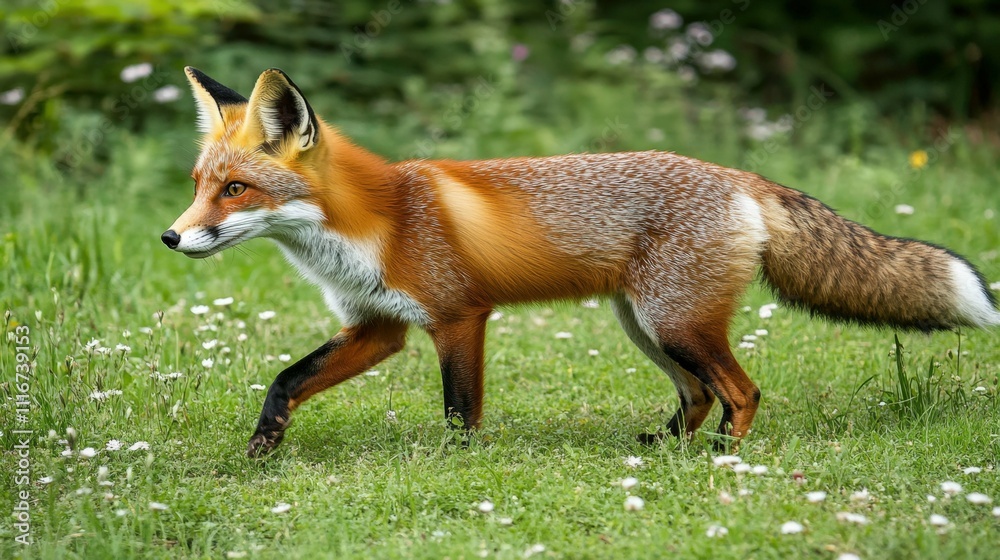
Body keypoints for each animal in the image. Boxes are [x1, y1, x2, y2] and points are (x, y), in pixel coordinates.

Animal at [163, 67, 1000, 457]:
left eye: (236, 190)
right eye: (199, 185)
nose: (171, 239)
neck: (375, 225)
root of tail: (735, 174)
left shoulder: (459, 317)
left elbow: (460, 410)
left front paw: (457, 467)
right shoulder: (378, 327)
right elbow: (286, 380)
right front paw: (263, 447)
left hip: (675, 323)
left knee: (742, 390)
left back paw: (723, 461)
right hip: (648, 328)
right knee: (699, 395)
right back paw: (663, 450)